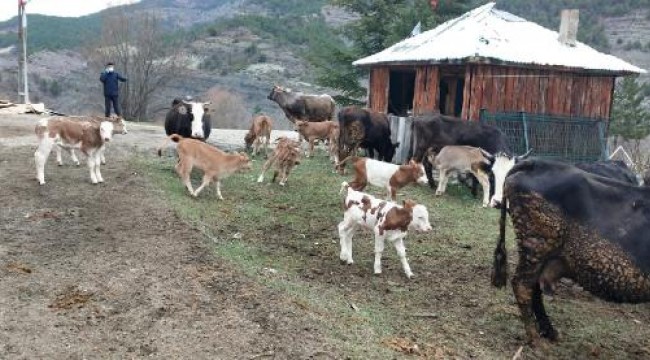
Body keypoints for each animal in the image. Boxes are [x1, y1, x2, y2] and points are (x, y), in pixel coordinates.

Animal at [488, 160, 648, 346]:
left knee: (534, 287)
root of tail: (538, 163)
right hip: (536, 244)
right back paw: (536, 340)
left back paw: (549, 332)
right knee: (522, 285)